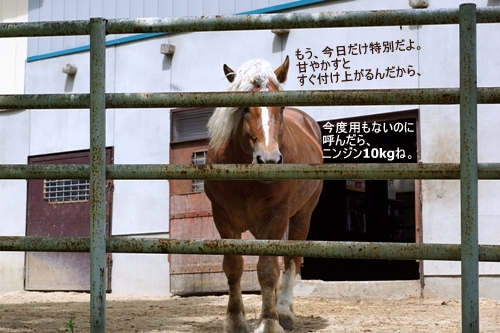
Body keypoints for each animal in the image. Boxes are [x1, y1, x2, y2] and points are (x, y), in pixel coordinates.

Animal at [205, 55, 322, 330]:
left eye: (280, 108)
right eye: (245, 109)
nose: (269, 160)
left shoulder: (276, 215)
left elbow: (268, 269)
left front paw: (269, 321)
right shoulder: (222, 217)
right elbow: (234, 266)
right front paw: (235, 320)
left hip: (301, 216)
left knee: (291, 261)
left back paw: (284, 311)